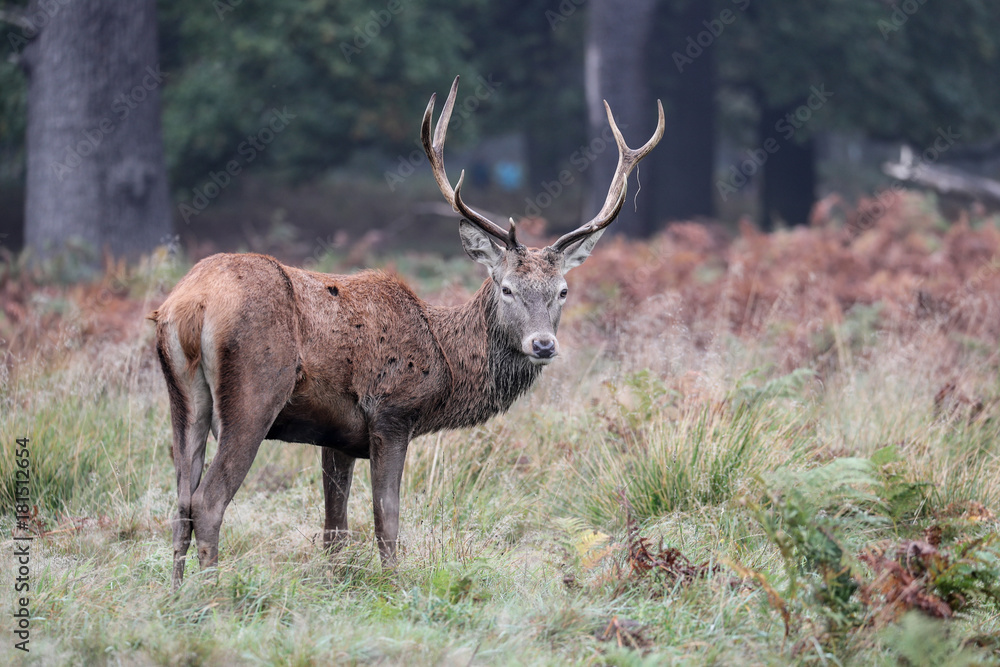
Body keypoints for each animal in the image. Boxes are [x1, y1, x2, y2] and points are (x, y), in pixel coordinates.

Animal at [150, 76, 663, 588]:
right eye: (507, 288)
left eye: (562, 291)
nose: (543, 344)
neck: (444, 362)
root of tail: (191, 304)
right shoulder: (391, 413)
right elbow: (387, 519)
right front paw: (393, 584)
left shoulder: (337, 437)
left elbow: (335, 531)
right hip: (254, 393)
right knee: (208, 501)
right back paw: (214, 593)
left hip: (183, 397)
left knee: (180, 501)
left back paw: (176, 593)